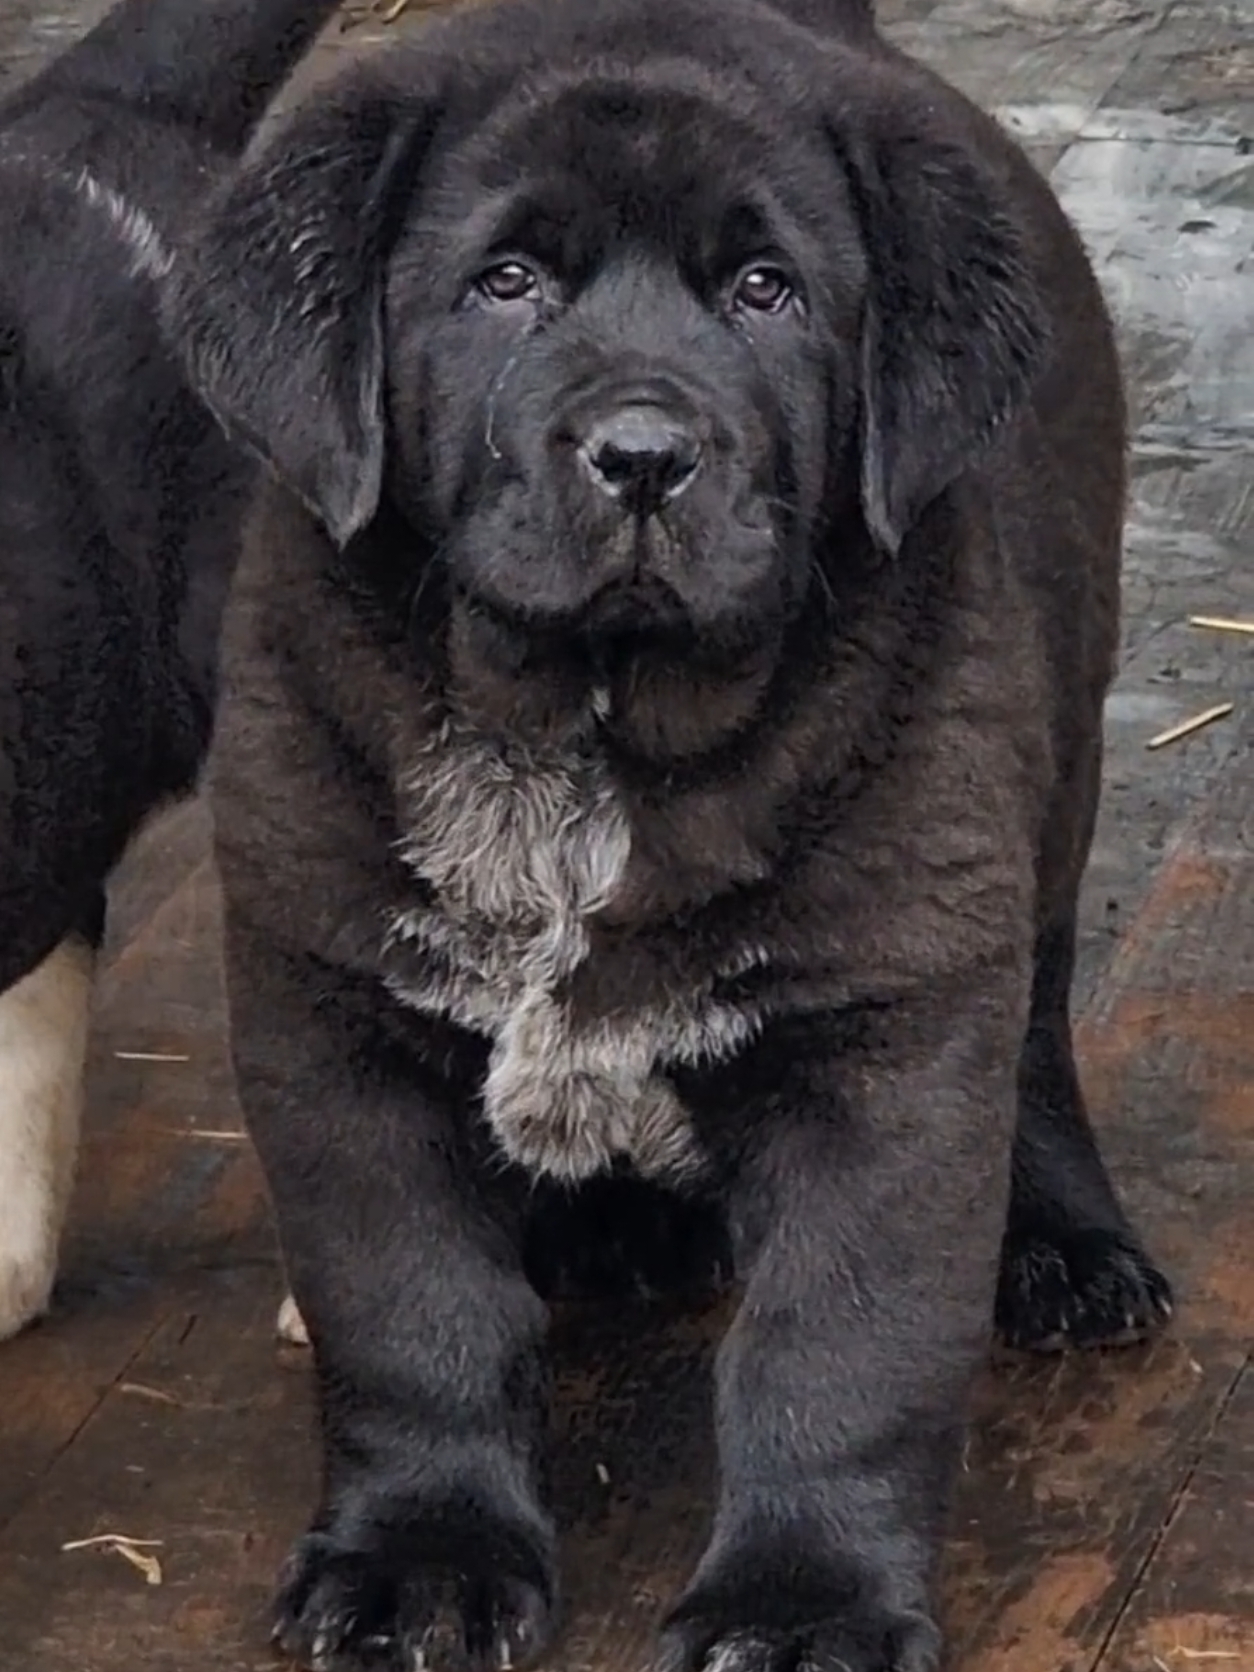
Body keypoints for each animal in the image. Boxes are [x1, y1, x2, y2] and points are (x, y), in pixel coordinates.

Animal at [162, 0, 1177, 1665]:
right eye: (505, 282)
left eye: (765, 292)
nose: (641, 453)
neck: (588, 739)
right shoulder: (335, 1013)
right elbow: (411, 1315)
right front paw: (421, 1557)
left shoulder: (881, 1030)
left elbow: (838, 1350)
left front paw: (804, 1602)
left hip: (1049, 784)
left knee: (1031, 1019)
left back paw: (1062, 1242)